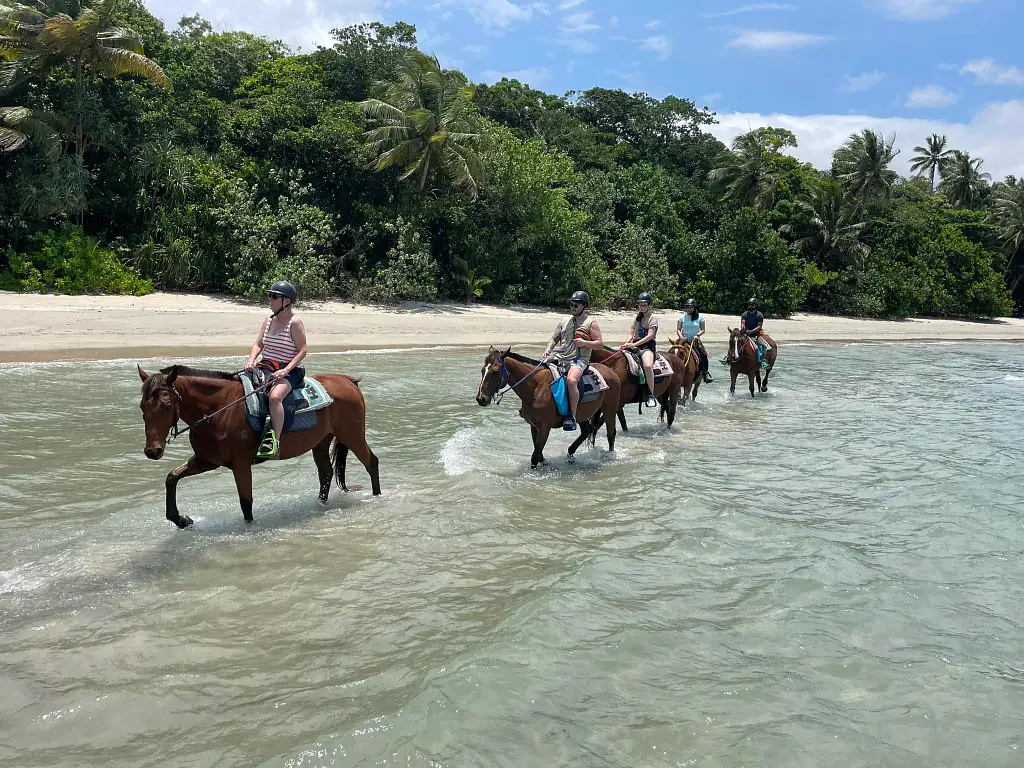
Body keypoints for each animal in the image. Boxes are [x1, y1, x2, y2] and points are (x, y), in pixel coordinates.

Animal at [134, 364, 378, 528]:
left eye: (166, 405)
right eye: (142, 407)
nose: (152, 451)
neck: (219, 408)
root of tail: (348, 381)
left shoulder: (240, 465)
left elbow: (246, 503)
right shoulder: (206, 461)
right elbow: (172, 477)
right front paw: (181, 519)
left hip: (353, 436)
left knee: (371, 463)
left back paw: (377, 498)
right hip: (320, 441)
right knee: (326, 474)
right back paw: (319, 505)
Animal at [475, 348, 618, 468]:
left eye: (495, 371)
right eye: (482, 371)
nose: (481, 399)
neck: (535, 387)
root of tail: (611, 371)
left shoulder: (544, 427)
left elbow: (535, 456)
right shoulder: (534, 426)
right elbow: (539, 454)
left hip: (609, 410)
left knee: (611, 433)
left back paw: (611, 455)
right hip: (581, 415)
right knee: (586, 430)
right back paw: (570, 453)